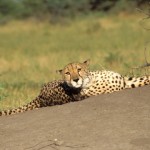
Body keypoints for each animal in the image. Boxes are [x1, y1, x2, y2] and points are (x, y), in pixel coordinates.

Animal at [0, 59, 150, 116]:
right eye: (67, 73)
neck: (92, 79)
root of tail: (40, 95)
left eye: (79, 69)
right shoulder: (121, 86)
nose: (76, 79)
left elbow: (144, 79)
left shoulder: (125, 81)